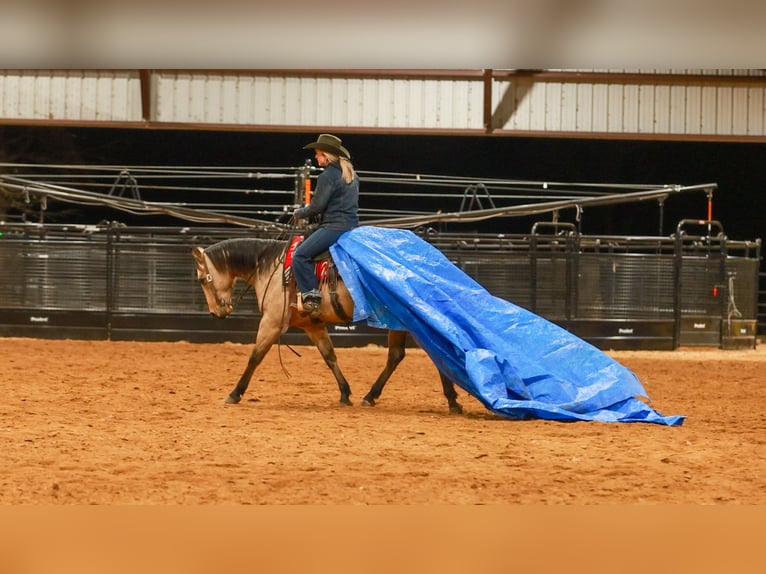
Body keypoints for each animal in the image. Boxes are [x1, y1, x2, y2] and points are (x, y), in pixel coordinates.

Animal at [192, 237, 463, 414]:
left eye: (202, 279)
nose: (216, 312)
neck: (274, 269)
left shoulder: (271, 322)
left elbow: (255, 357)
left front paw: (235, 393)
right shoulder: (313, 326)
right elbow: (329, 356)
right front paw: (345, 393)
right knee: (399, 355)